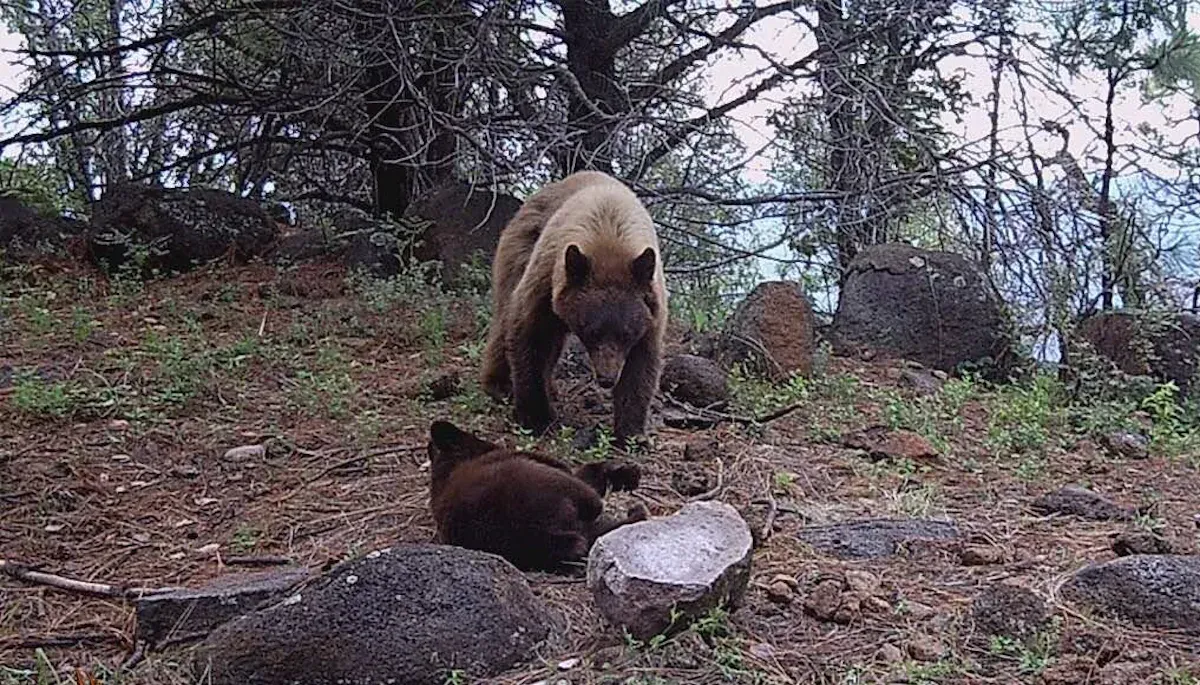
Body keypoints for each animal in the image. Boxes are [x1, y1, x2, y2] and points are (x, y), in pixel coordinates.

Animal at [480, 171, 668, 448]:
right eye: (592, 331)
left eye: (626, 334)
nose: (607, 378)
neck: (609, 236)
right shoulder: (546, 278)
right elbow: (528, 332)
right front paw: (537, 417)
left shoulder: (652, 307)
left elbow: (642, 362)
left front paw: (632, 435)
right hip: (519, 249)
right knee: (505, 318)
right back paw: (499, 385)